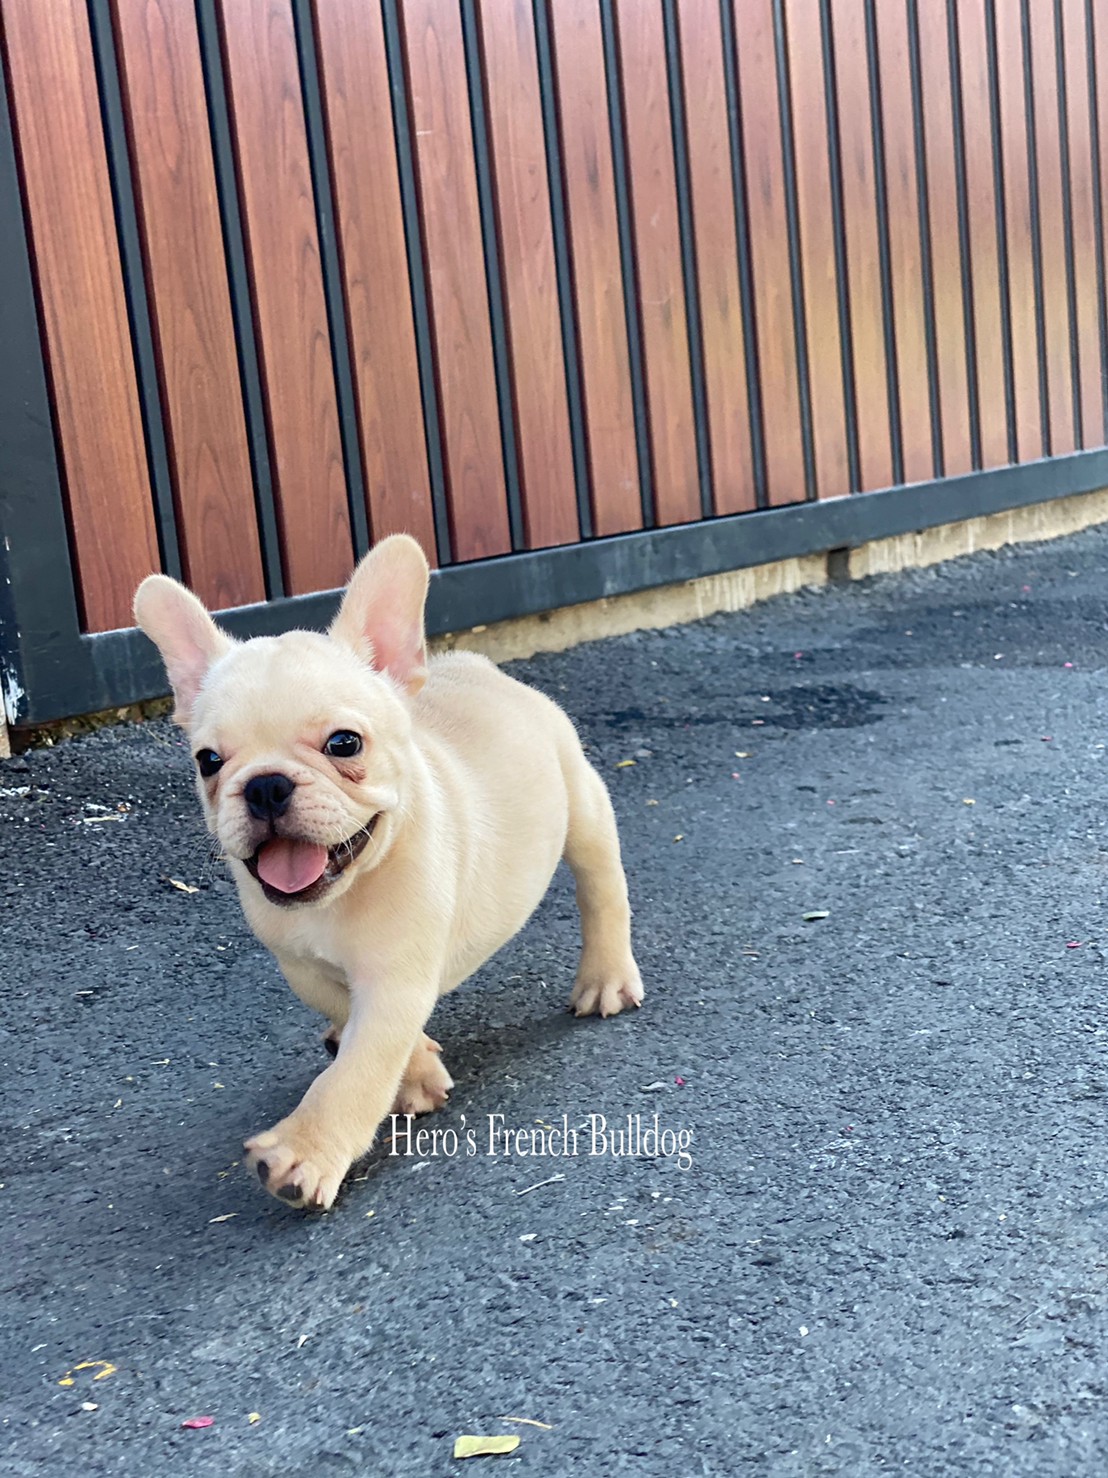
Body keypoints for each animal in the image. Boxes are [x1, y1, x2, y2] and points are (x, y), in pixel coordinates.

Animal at [134, 535, 643, 1209]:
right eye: (208, 761)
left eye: (344, 744)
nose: (266, 785)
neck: (337, 898)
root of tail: (478, 666)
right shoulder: (302, 966)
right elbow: (349, 1015)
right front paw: (417, 1070)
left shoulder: (395, 978)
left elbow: (359, 1068)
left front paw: (305, 1151)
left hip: (582, 805)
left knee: (601, 888)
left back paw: (606, 977)